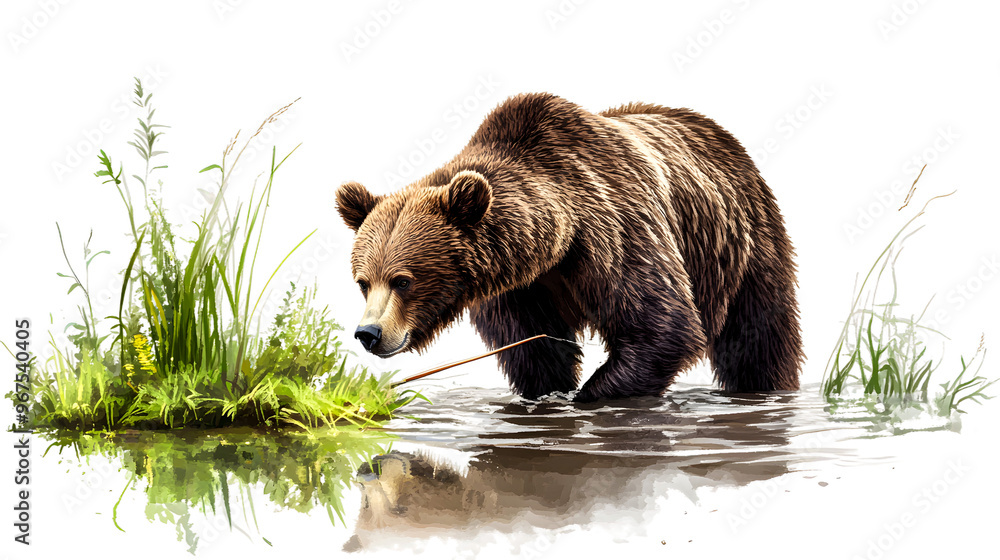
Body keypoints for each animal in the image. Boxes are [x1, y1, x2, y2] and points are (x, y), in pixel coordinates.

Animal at [336, 93, 802, 402]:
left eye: (403, 280)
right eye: (363, 282)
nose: (368, 333)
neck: (555, 242)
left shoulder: (616, 231)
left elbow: (663, 324)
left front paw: (590, 395)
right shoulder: (519, 288)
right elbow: (534, 350)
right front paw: (550, 393)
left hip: (744, 243)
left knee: (758, 337)